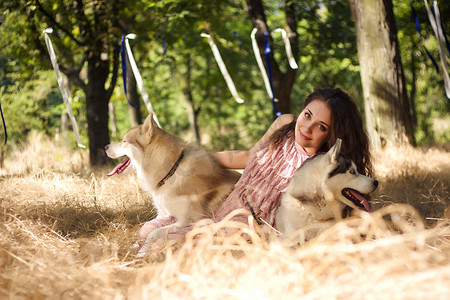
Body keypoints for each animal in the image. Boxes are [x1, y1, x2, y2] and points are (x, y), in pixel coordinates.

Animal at [105, 113, 241, 256]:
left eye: (124, 141)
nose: (105, 147)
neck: (171, 171)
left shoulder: (190, 219)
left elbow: (153, 233)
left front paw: (142, 252)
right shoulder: (163, 213)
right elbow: (147, 228)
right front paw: (132, 247)